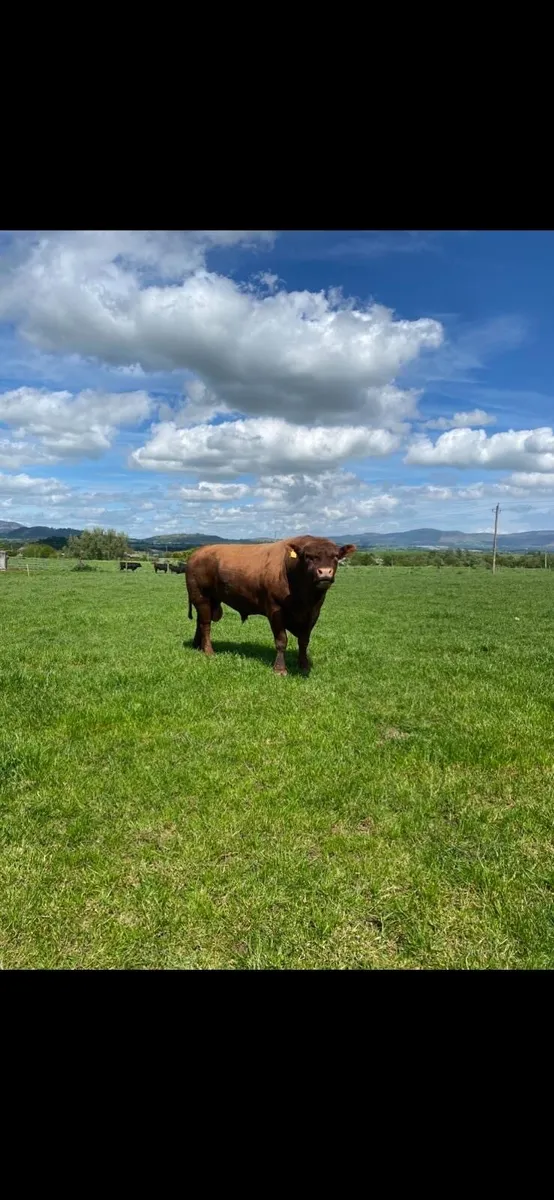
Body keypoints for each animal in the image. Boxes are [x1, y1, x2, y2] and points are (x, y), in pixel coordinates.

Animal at [185, 536, 356, 675]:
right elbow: (281, 640)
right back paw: (208, 651)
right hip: (201, 597)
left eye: (335, 556)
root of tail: (197, 552)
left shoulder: (313, 613)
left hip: (210, 600)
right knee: (205, 624)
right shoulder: (275, 610)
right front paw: (280, 669)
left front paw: (304, 665)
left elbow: (304, 641)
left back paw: (197, 645)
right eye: (309, 557)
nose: (325, 572)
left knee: (200, 622)